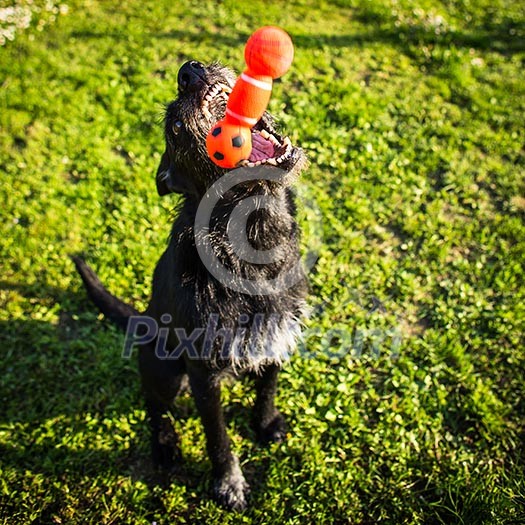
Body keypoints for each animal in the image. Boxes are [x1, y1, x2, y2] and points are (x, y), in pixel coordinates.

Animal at [72, 60, 308, 508]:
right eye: (177, 128)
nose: (189, 71)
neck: (253, 239)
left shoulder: (276, 337)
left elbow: (267, 387)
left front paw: (265, 423)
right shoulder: (203, 375)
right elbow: (218, 437)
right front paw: (228, 483)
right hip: (165, 370)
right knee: (153, 403)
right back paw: (164, 445)